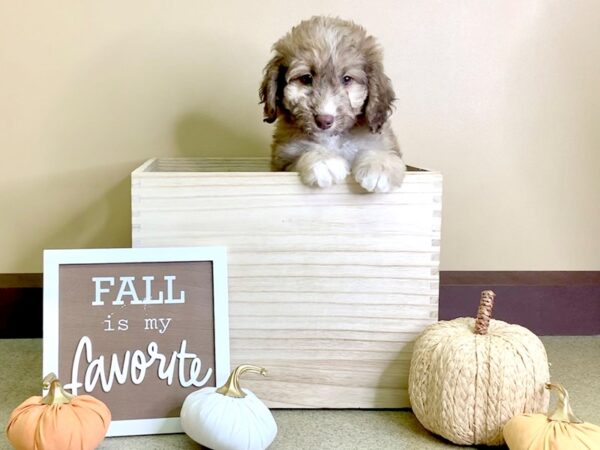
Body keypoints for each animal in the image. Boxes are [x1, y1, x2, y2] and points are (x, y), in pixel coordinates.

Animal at [260, 15, 406, 192]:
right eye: (306, 78)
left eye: (347, 79)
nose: (324, 121)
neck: (334, 138)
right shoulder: (283, 157)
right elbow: (301, 150)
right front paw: (323, 160)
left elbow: (382, 150)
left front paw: (379, 164)